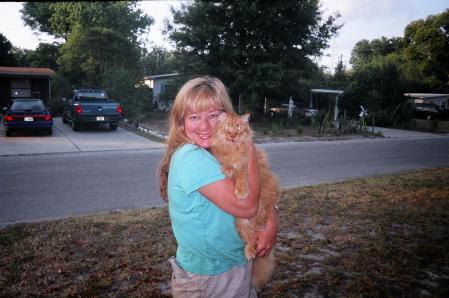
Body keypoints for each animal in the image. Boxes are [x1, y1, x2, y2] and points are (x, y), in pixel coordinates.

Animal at [211, 112, 280, 288]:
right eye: (227, 128)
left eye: (238, 129)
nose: (232, 136)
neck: (231, 148)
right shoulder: (219, 155)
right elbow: (226, 164)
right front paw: (227, 169)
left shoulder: (245, 164)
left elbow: (241, 177)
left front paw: (241, 192)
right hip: (241, 224)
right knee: (252, 240)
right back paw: (249, 251)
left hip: (265, 200)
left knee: (263, 219)